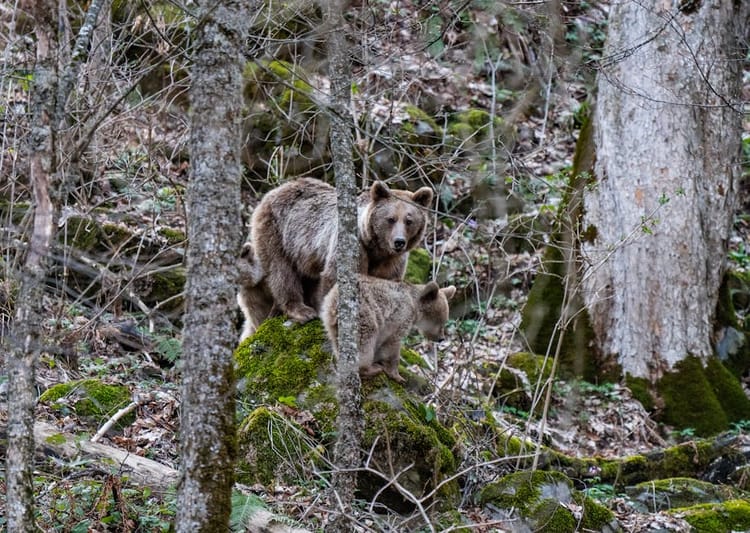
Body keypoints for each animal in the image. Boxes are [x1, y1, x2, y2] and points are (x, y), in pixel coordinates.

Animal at [249, 177, 434, 324]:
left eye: (409, 220)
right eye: (391, 219)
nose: (399, 242)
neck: (376, 248)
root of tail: (275, 190)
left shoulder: (392, 261)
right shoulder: (352, 247)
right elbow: (335, 278)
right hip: (277, 232)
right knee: (281, 271)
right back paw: (302, 310)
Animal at [321, 276, 456, 383]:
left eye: (444, 321)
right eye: (440, 322)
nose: (441, 338)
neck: (414, 307)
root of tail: (334, 301)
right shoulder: (399, 317)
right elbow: (392, 345)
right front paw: (397, 375)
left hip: (330, 320)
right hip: (364, 314)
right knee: (365, 341)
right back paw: (370, 369)